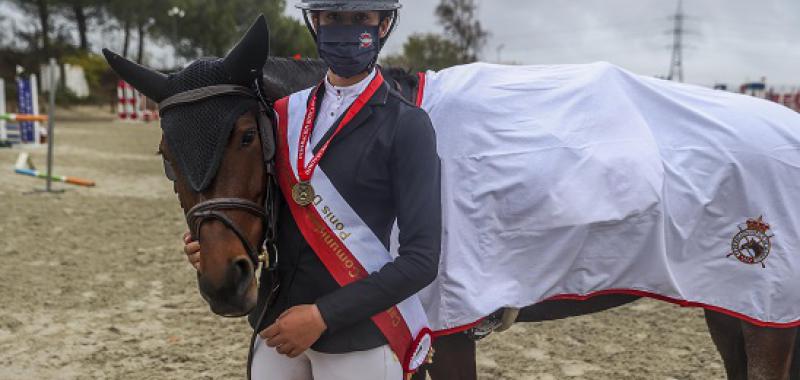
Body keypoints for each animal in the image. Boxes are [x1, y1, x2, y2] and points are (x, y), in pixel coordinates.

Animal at [103, 15, 796, 380]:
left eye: (246, 135)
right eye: (164, 153)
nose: (227, 283)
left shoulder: (446, 330)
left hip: (764, 309)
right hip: (730, 306)